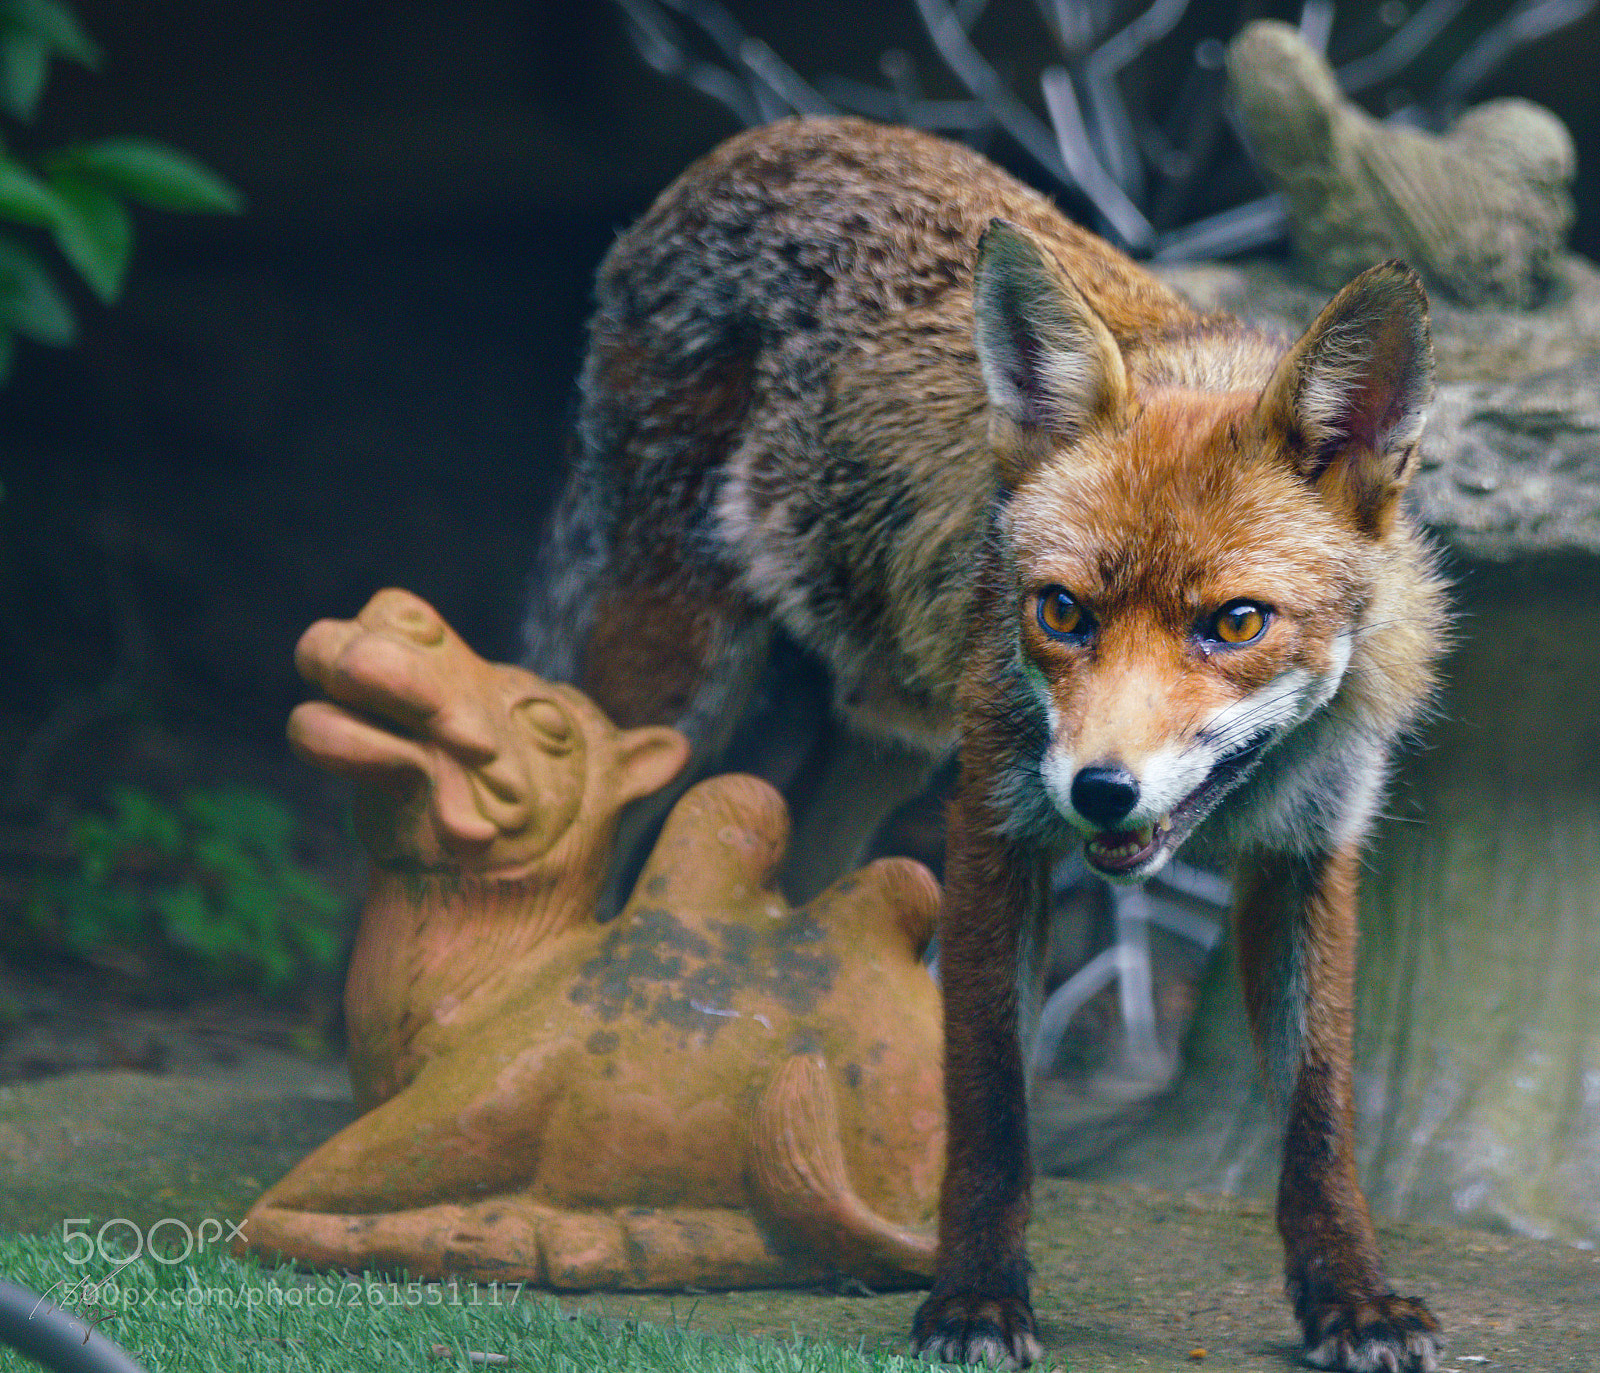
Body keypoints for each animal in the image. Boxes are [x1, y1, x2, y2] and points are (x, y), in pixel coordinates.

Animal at [524, 116, 1449, 1372]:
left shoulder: (1305, 855)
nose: (1100, 790)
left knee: (806, 885)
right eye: (1060, 611)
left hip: (890, 734)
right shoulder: (993, 822)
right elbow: (993, 1103)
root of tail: (758, 139)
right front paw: (973, 1296)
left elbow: (1319, 1120)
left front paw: (1349, 1297)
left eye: (1235, 623)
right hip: (676, 685)